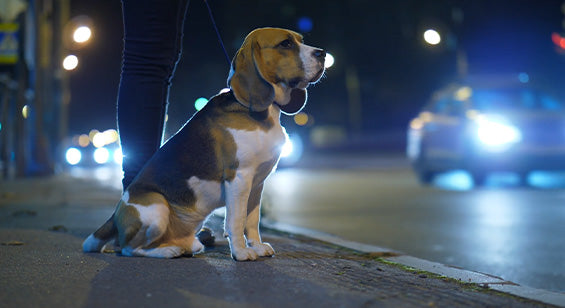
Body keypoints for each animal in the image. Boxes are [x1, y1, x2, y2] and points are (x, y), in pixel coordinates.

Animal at [81, 27, 324, 262]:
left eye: (300, 40)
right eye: (286, 44)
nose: (323, 54)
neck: (261, 113)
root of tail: (115, 216)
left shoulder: (257, 183)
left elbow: (252, 221)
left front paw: (256, 246)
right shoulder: (239, 178)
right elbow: (236, 220)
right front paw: (241, 252)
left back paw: (185, 246)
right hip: (157, 207)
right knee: (129, 249)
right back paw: (168, 252)